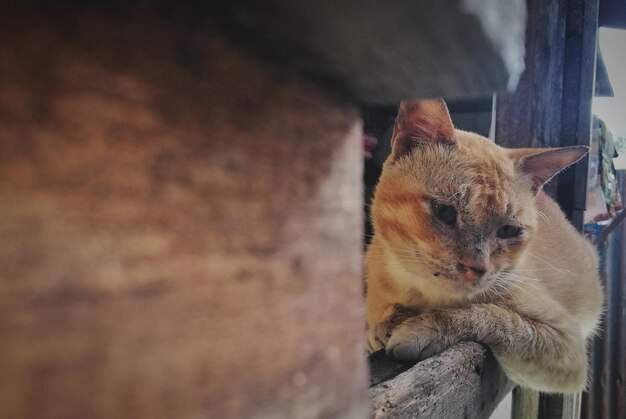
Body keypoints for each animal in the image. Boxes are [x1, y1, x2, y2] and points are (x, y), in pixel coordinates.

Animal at [364, 99, 604, 394]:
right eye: (445, 211)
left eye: (509, 230)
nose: (477, 268)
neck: (423, 295)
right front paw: (385, 325)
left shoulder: (566, 344)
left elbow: (491, 315)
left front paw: (418, 329)